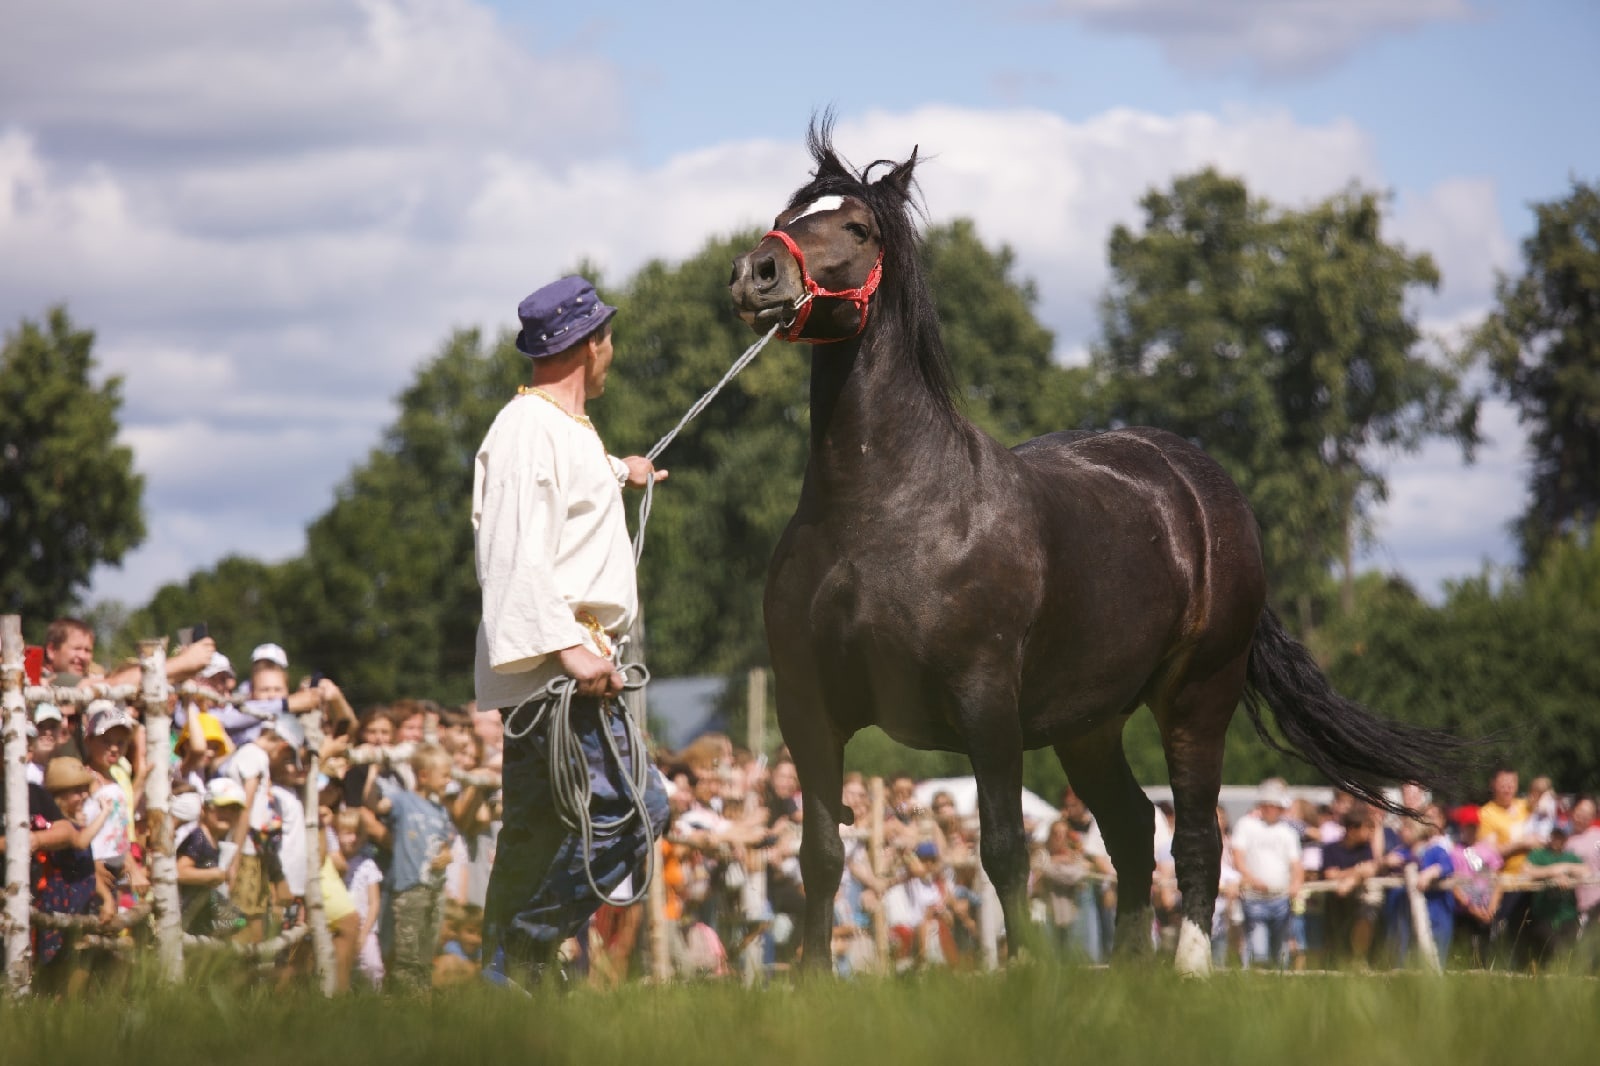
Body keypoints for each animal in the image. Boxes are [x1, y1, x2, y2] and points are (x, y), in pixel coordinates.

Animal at [732, 124, 1465, 973]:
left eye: (856, 228)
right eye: (787, 215)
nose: (756, 274)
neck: (882, 512)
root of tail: (1205, 491)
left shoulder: (988, 709)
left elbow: (1005, 849)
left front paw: (1026, 971)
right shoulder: (807, 710)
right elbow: (819, 853)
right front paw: (813, 979)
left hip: (1196, 701)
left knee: (1195, 836)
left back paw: (1188, 966)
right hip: (1089, 725)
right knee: (1132, 827)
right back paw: (1126, 970)